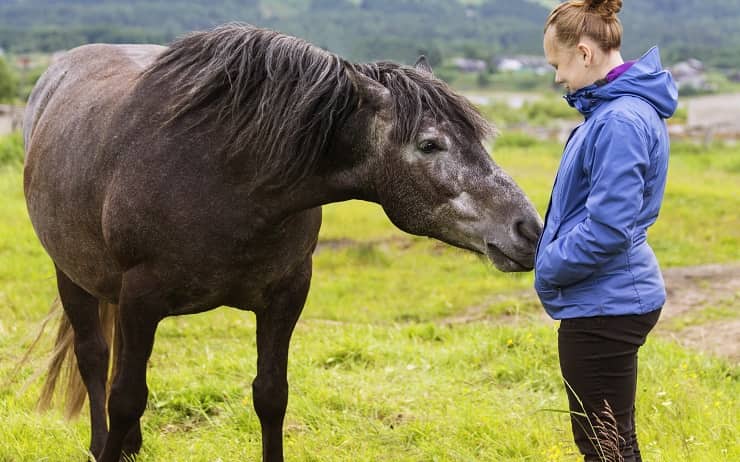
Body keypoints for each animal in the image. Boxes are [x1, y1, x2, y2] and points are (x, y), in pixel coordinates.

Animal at [21, 23, 544, 460]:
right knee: (94, 358)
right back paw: (102, 443)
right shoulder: (139, 298)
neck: (226, 176)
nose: (530, 230)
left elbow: (271, 395)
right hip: (72, 276)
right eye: (430, 144)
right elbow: (127, 396)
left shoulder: (287, 294)